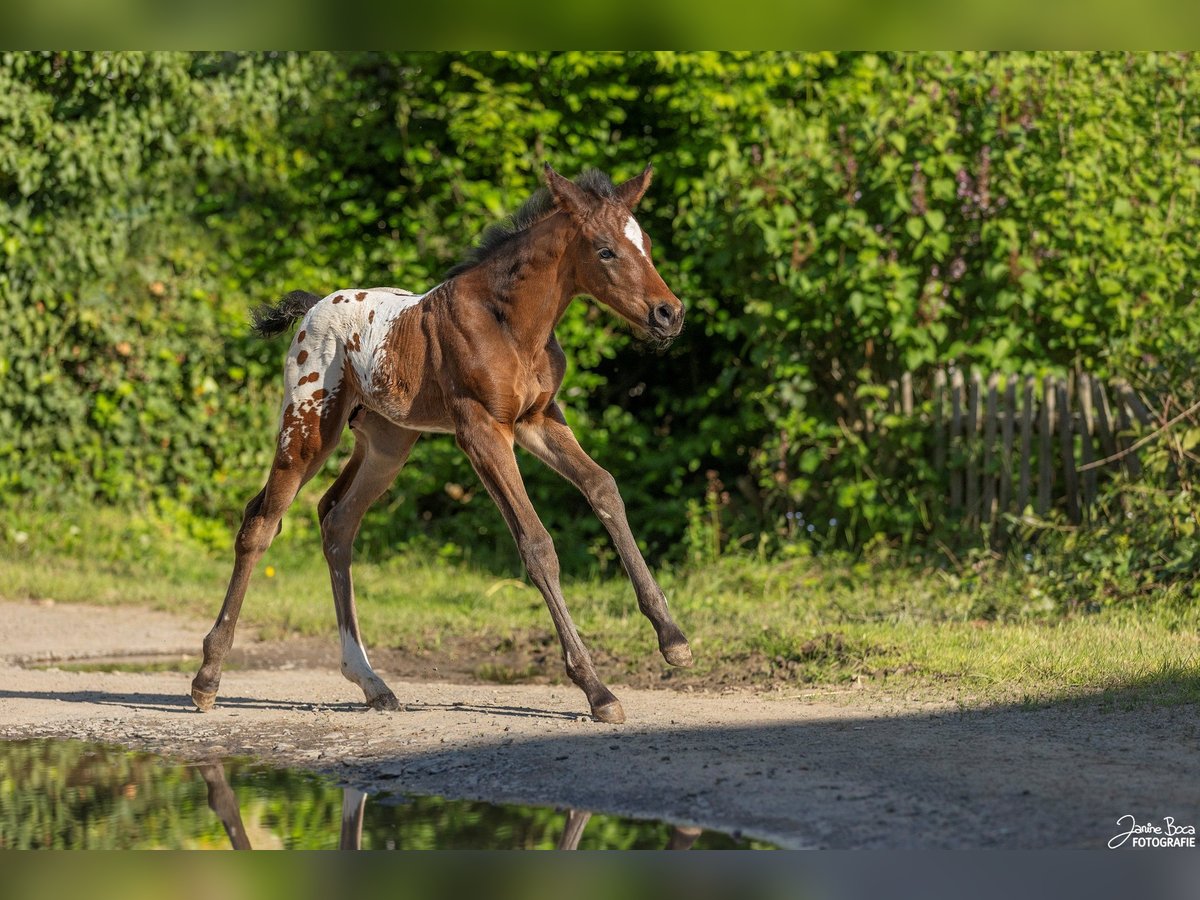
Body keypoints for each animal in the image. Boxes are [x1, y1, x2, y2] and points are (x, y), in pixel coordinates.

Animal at [192, 164, 691, 724]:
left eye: (646, 244)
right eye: (605, 250)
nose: (669, 314)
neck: (509, 323)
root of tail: (312, 307)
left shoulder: (537, 419)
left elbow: (603, 488)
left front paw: (673, 640)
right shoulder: (481, 431)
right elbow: (537, 544)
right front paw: (596, 689)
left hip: (387, 445)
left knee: (337, 519)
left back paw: (372, 683)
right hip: (307, 429)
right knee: (261, 524)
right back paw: (207, 679)